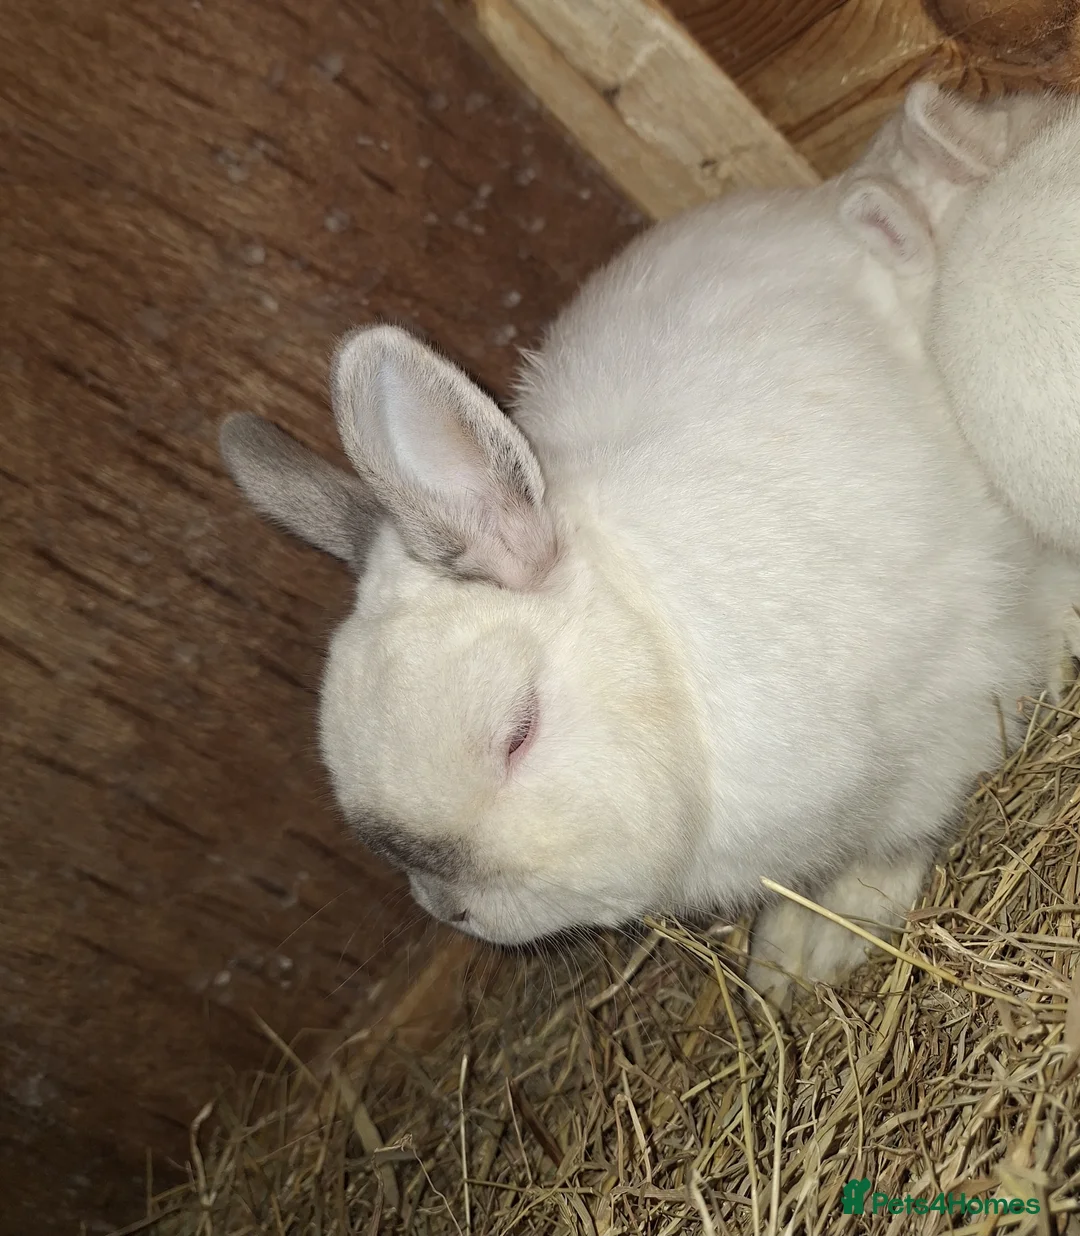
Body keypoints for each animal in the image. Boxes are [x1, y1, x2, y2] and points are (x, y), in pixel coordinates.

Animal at [220, 160, 1077, 1012]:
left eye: (519, 732)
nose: (457, 913)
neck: (661, 643)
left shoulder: (944, 723)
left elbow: (899, 839)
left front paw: (823, 942)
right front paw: (782, 962)